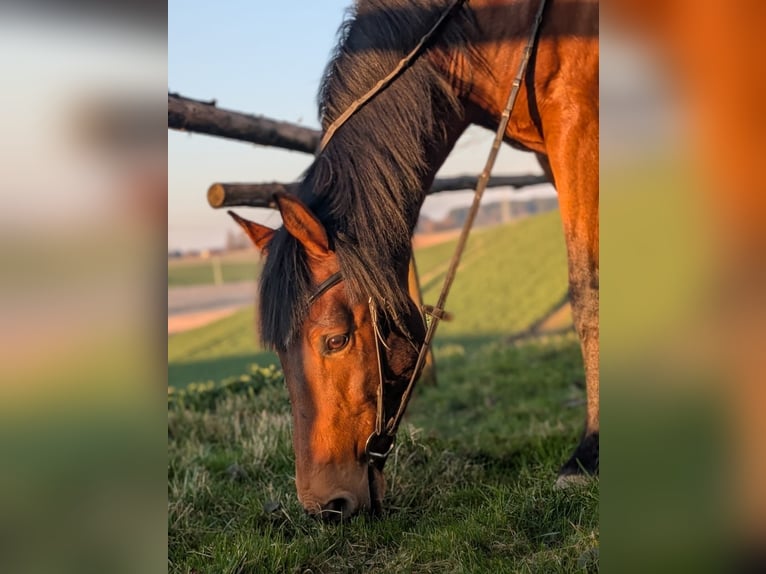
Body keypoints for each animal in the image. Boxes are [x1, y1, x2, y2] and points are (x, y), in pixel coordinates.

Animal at [231, 0, 598, 519]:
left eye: (335, 340)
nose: (324, 505)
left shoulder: (577, 128)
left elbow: (587, 288)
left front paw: (588, 454)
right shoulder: (550, 150)